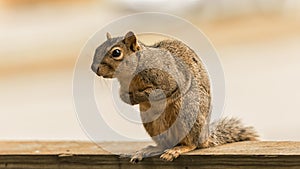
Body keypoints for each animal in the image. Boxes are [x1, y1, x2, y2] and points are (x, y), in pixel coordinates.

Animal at [89, 31, 258, 163]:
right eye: (97, 48)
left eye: (116, 53)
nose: (93, 68)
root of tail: (205, 136)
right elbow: (125, 96)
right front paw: (126, 96)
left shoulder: (168, 78)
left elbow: (163, 90)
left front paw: (141, 95)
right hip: (151, 122)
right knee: (165, 144)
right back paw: (150, 150)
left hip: (186, 112)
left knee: (192, 144)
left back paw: (178, 149)